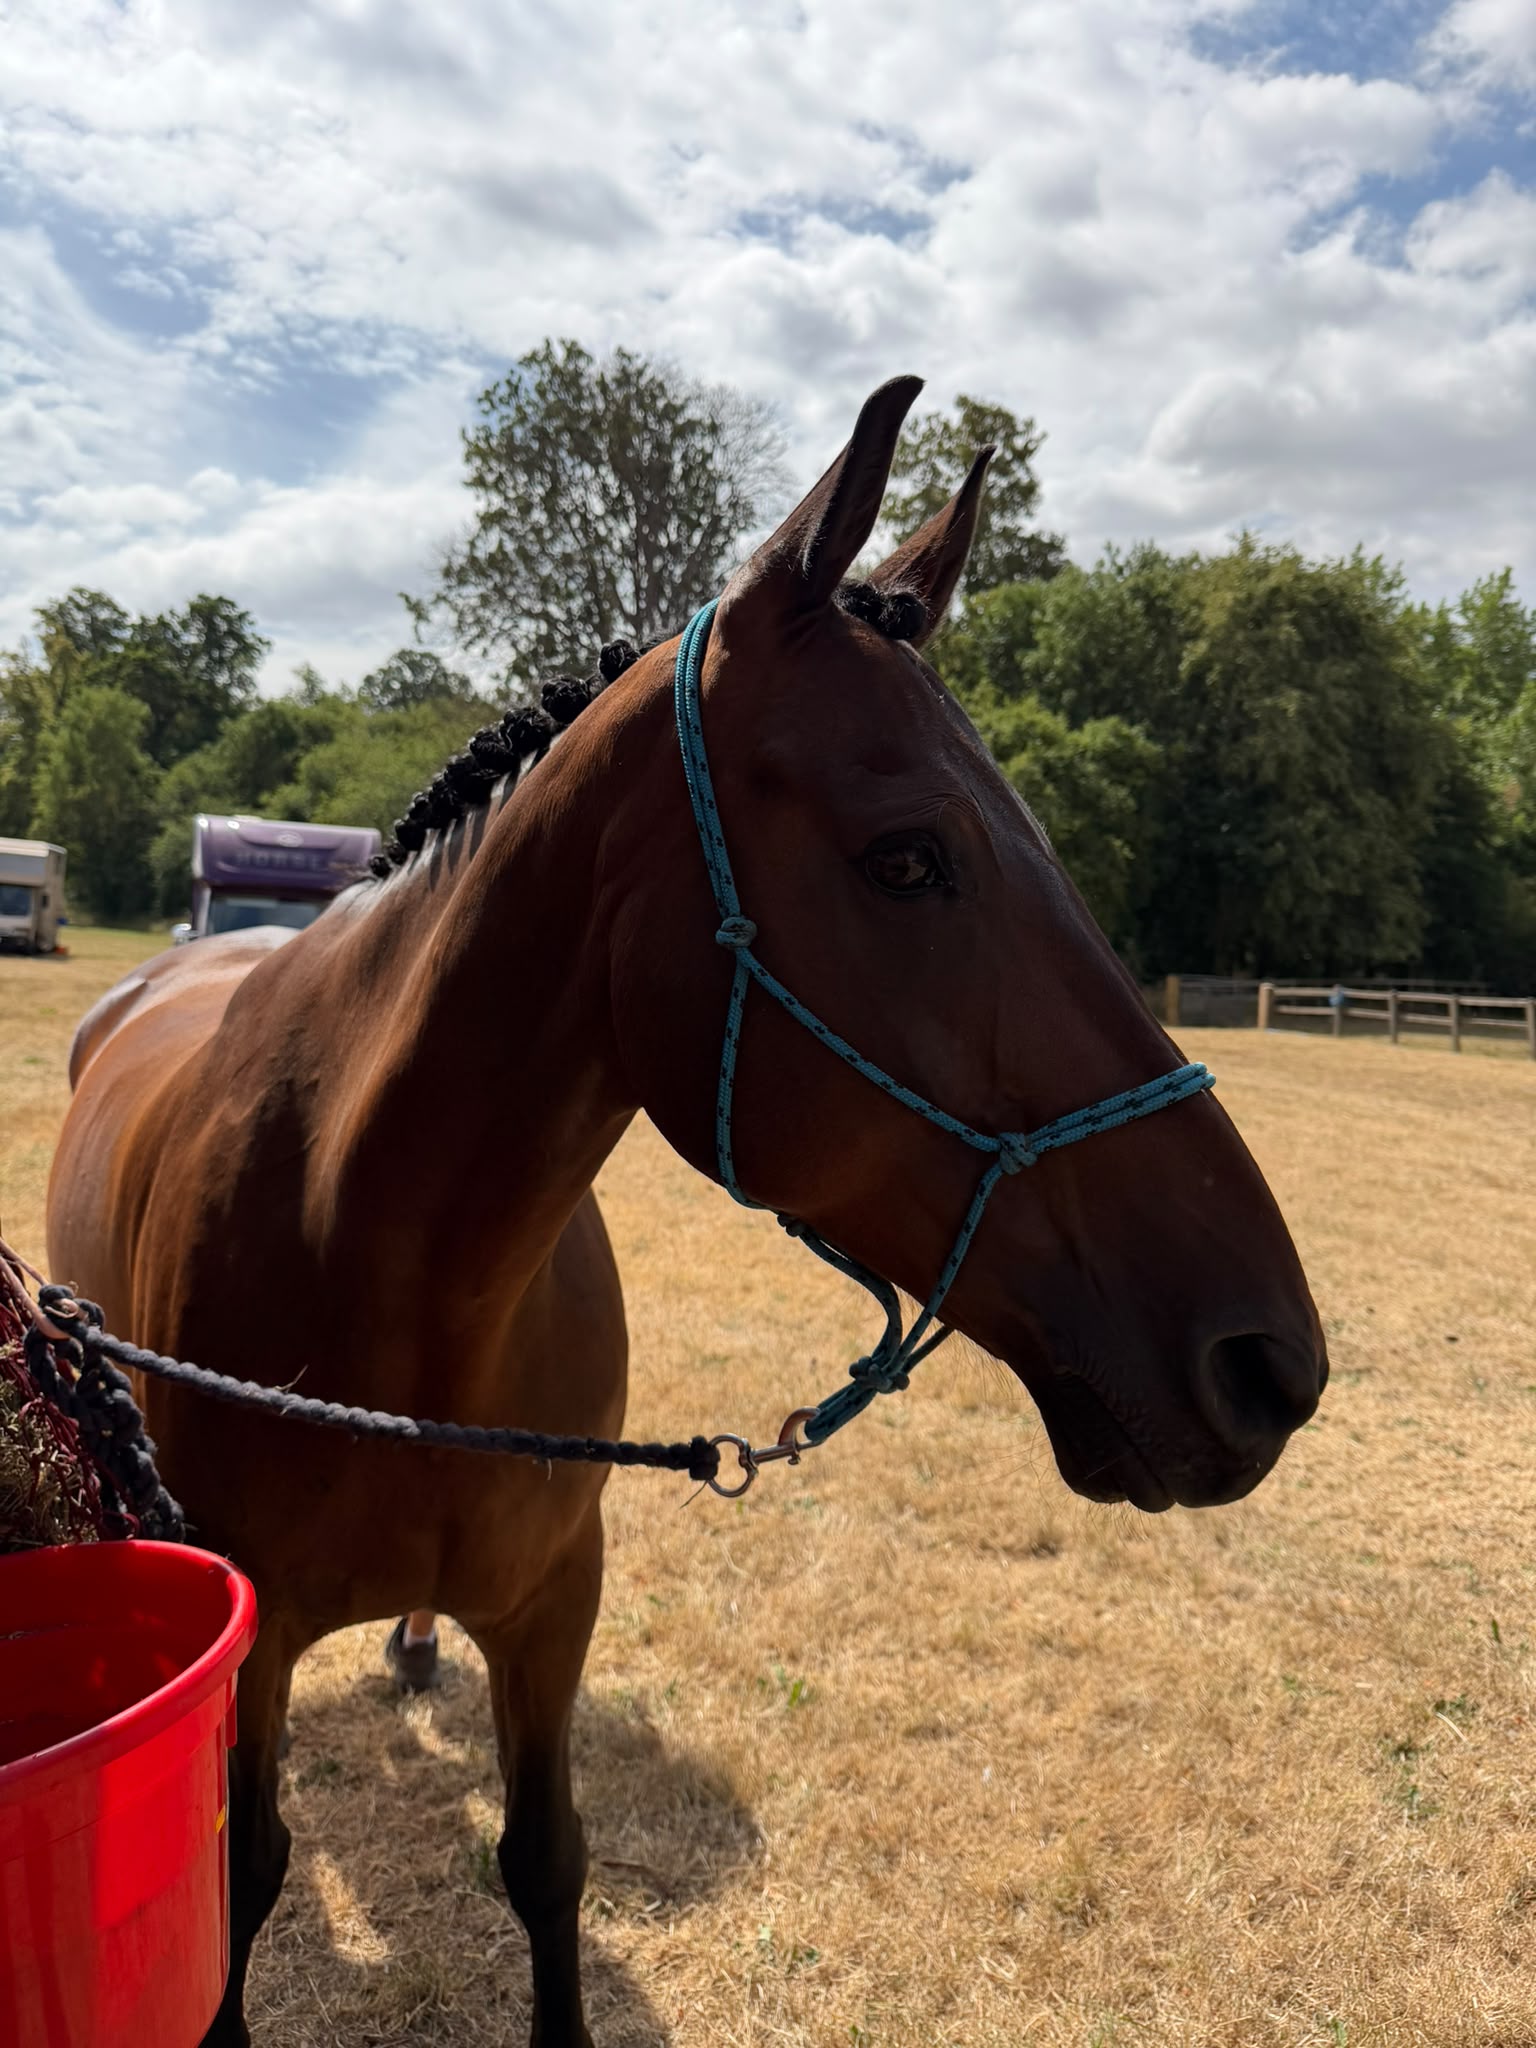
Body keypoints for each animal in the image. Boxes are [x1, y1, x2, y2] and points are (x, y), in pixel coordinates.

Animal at [47, 376, 1327, 2048]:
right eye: (907, 857)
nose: (1271, 1363)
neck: (380, 1265)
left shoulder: (553, 1609)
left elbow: (545, 1863)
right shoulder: (248, 1638)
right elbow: (244, 1875)